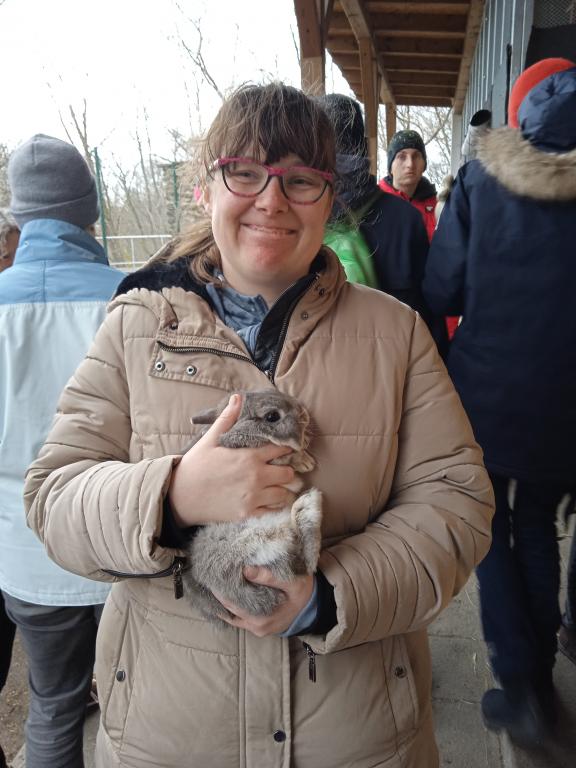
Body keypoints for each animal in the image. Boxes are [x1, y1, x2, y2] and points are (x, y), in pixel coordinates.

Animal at [181, 389, 323, 627]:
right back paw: (306, 506)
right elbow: (284, 454)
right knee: (301, 560)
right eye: (272, 416)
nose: (304, 413)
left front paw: (306, 460)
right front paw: (304, 458)